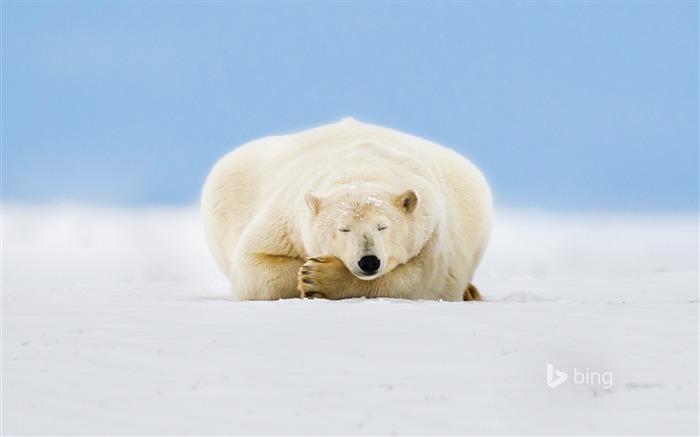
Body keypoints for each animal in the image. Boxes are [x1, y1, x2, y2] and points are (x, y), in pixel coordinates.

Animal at [201, 117, 492, 302]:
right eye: (343, 228)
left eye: (382, 226)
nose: (369, 261)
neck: (360, 168)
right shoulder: (285, 221)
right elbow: (253, 265)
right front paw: (306, 272)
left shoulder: (433, 232)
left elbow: (421, 280)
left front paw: (319, 277)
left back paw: (471, 292)